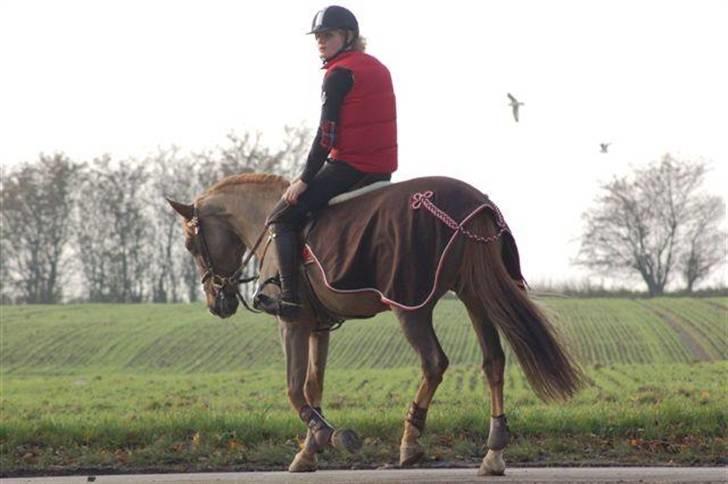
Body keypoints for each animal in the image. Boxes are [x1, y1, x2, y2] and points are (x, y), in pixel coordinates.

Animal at [168, 172, 584, 474]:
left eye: (190, 245)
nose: (216, 303)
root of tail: (475, 204)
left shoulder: (292, 324)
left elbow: (294, 389)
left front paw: (329, 436)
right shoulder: (318, 328)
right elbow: (314, 385)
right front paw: (309, 451)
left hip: (412, 305)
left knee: (435, 363)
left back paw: (411, 443)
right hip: (475, 294)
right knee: (493, 361)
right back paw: (493, 452)